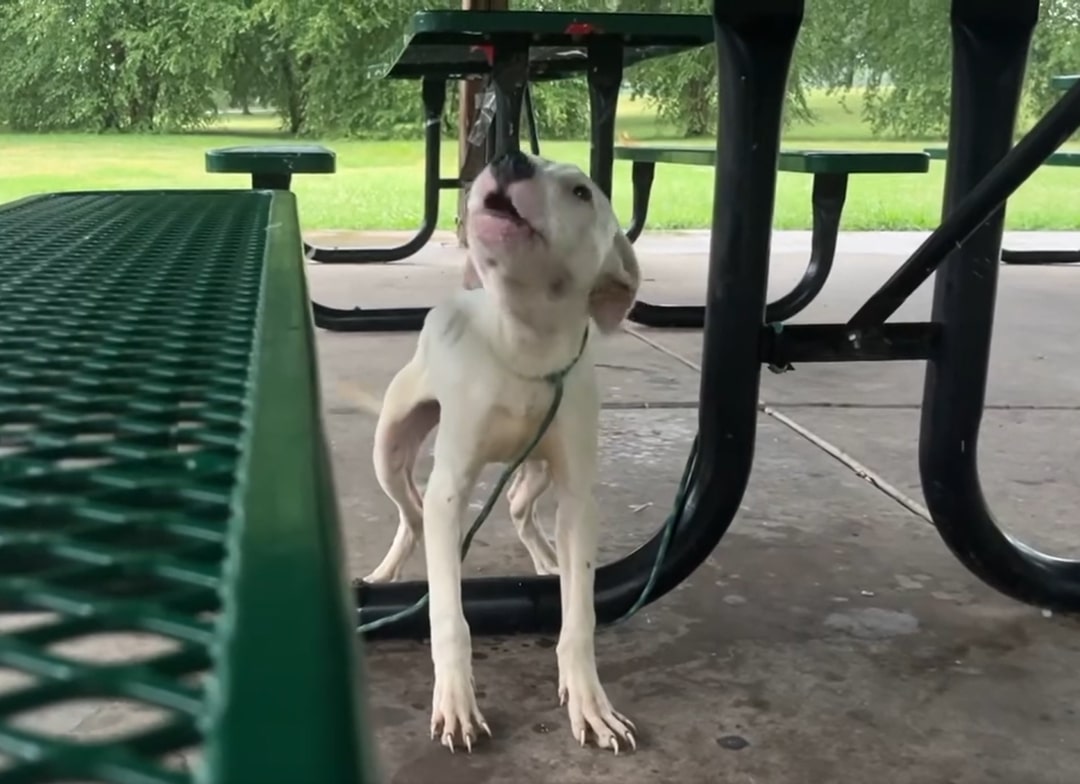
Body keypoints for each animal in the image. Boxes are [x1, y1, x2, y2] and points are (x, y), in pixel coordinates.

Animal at [371, 152, 639, 755]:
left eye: (581, 191)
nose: (509, 157)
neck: (522, 346)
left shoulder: (577, 497)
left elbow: (580, 615)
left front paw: (589, 701)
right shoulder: (450, 490)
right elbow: (449, 616)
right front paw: (455, 702)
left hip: (536, 466)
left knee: (517, 504)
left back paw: (546, 561)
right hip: (389, 448)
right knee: (412, 516)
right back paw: (386, 572)